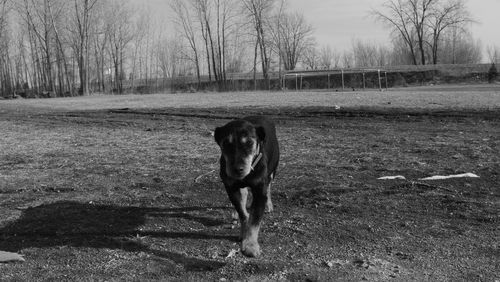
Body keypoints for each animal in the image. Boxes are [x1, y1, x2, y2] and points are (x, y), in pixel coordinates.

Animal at [213, 115, 280, 256]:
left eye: (249, 143)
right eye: (226, 143)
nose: (238, 169)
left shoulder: (259, 190)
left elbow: (254, 220)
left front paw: (250, 245)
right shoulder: (231, 188)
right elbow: (243, 213)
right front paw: (244, 231)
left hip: (273, 169)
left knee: (269, 186)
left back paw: (269, 205)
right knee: (243, 194)